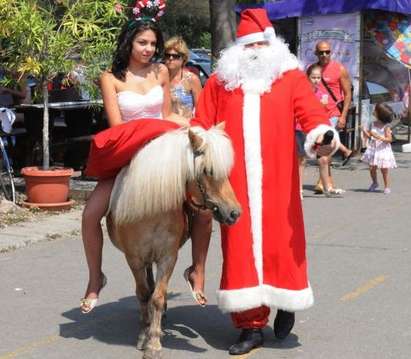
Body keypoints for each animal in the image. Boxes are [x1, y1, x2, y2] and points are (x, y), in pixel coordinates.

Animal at [106, 124, 241, 359]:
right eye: (207, 171)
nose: (234, 213)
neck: (150, 210)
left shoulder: (168, 257)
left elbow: (158, 297)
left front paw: (154, 343)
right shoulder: (134, 258)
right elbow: (144, 294)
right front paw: (144, 334)